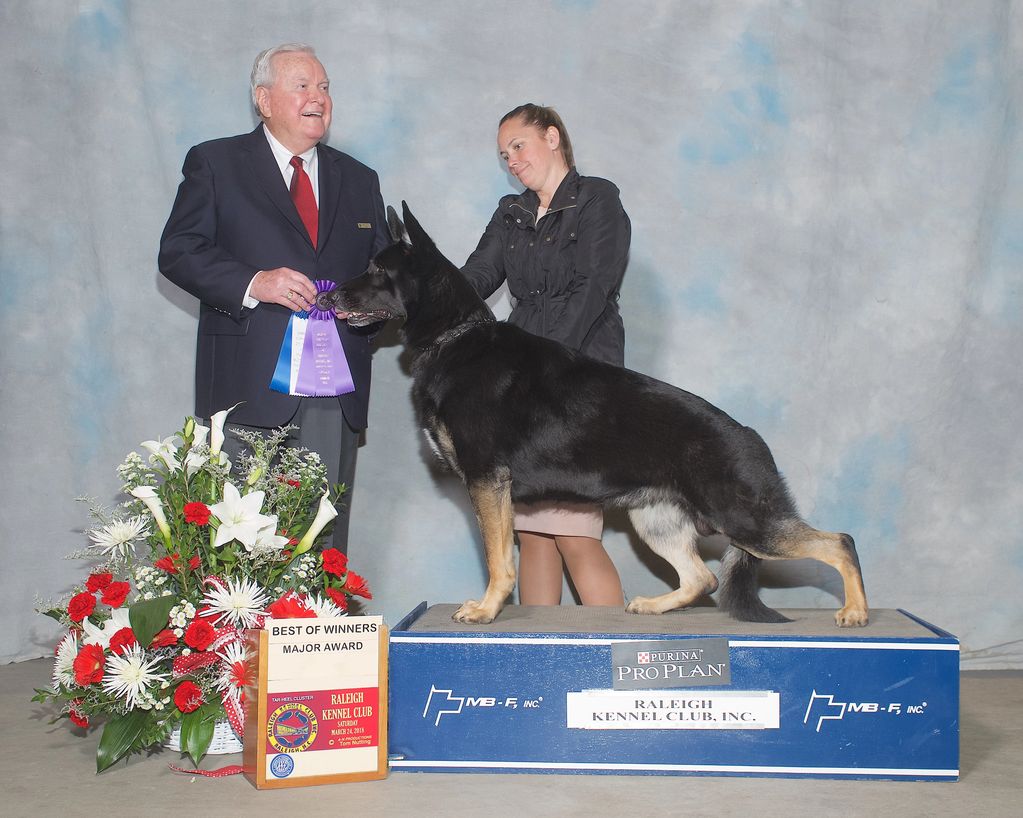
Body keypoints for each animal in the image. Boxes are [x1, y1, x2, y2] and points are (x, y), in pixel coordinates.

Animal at [317, 202, 863, 625]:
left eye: (377, 271)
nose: (327, 295)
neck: (455, 336)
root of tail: (750, 437)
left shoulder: (488, 483)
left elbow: (497, 559)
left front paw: (487, 609)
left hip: (744, 521)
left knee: (839, 541)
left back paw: (855, 612)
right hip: (656, 521)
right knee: (703, 577)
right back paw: (654, 605)